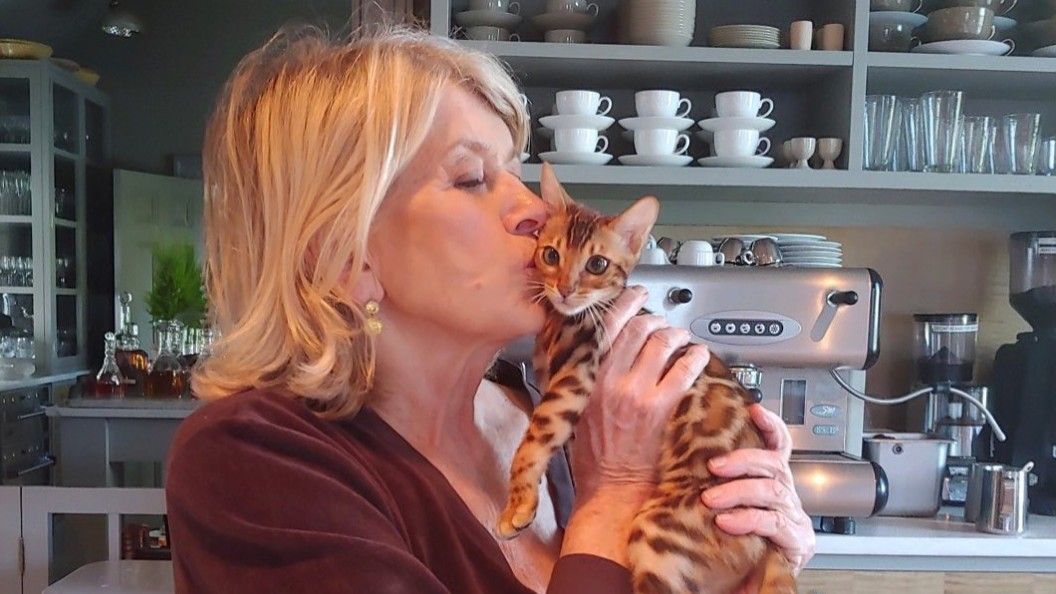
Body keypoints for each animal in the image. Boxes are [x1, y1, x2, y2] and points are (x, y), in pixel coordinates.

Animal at [496, 162, 794, 591]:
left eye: (597, 265)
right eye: (551, 254)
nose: (564, 290)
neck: (561, 319)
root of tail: (771, 546)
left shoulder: (573, 376)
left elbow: (531, 444)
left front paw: (517, 506)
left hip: (661, 534)